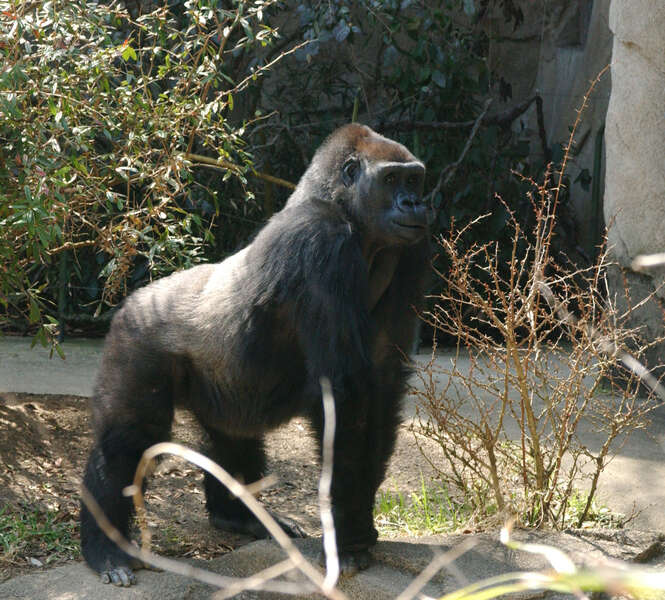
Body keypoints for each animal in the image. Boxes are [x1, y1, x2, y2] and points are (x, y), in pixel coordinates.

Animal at [80, 123, 430, 584]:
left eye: (414, 180)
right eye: (391, 180)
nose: (414, 202)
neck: (343, 209)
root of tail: (129, 302)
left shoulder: (409, 250)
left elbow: (383, 384)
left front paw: (358, 523)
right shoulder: (321, 240)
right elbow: (345, 393)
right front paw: (348, 534)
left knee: (233, 434)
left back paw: (236, 515)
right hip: (134, 339)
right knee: (128, 439)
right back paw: (104, 547)